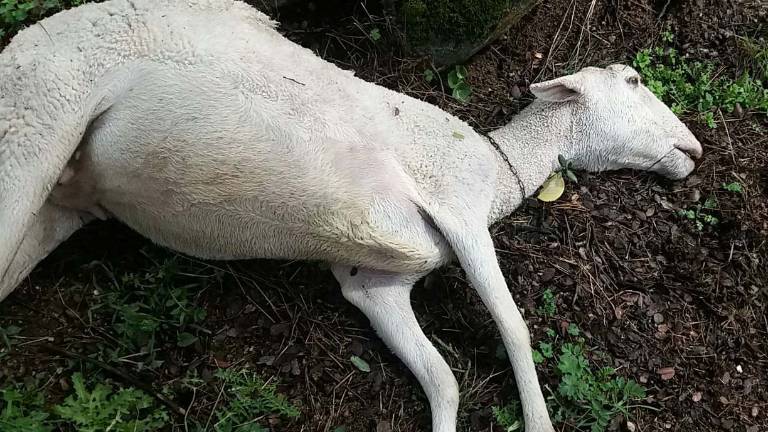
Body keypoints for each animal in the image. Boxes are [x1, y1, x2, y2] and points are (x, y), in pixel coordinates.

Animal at [0, 1, 704, 430]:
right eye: (634, 81)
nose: (694, 149)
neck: (498, 168)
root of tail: (19, 46)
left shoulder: (376, 285)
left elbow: (443, 380)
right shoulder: (461, 212)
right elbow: (514, 328)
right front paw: (540, 422)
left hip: (61, 201)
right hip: (37, 119)